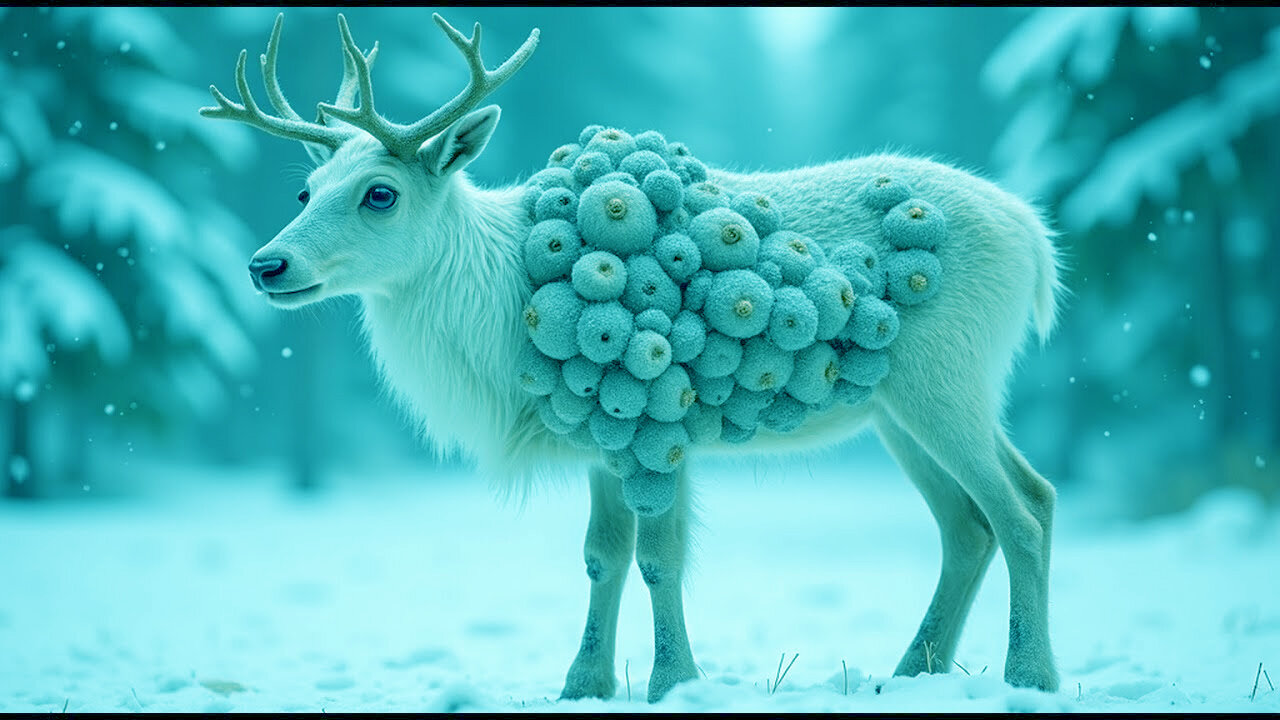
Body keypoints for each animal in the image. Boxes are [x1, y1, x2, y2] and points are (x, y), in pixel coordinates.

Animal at [201, 12, 1064, 703]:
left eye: (380, 193)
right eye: (305, 191)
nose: (266, 265)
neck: (496, 322)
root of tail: (1036, 240)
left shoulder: (660, 423)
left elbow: (658, 558)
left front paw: (672, 681)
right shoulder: (597, 437)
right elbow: (600, 557)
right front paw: (581, 684)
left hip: (948, 378)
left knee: (1023, 506)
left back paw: (1030, 676)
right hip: (892, 406)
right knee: (974, 522)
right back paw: (910, 673)